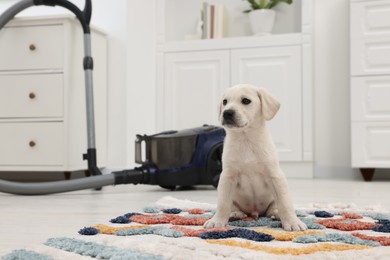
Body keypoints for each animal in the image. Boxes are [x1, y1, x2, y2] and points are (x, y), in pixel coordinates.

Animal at [204, 84, 308, 232]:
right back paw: (235, 213)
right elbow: (223, 203)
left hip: (273, 198)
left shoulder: (276, 176)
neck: (246, 139)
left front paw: (293, 222)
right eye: (225, 102)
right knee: (233, 206)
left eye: (246, 101)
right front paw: (217, 221)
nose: (227, 113)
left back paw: (276, 214)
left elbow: (285, 203)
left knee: (274, 208)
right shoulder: (227, 177)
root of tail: (255, 213)